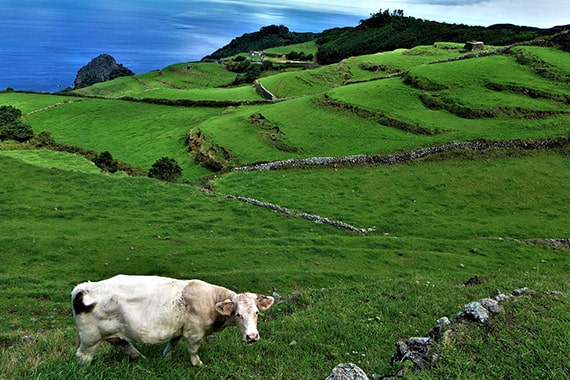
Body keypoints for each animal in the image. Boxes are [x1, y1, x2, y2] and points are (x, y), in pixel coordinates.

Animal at [70, 274, 274, 366]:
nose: (252, 337)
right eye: (237, 314)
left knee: (123, 344)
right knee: (83, 356)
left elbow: (172, 343)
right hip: (90, 337)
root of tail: (82, 288)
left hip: (113, 333)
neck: (210, 299)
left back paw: (141, 358)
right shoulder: (194, 333)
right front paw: (198, 364)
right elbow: (193, 350)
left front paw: (166, 358)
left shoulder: (179, 329)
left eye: (256, 312)